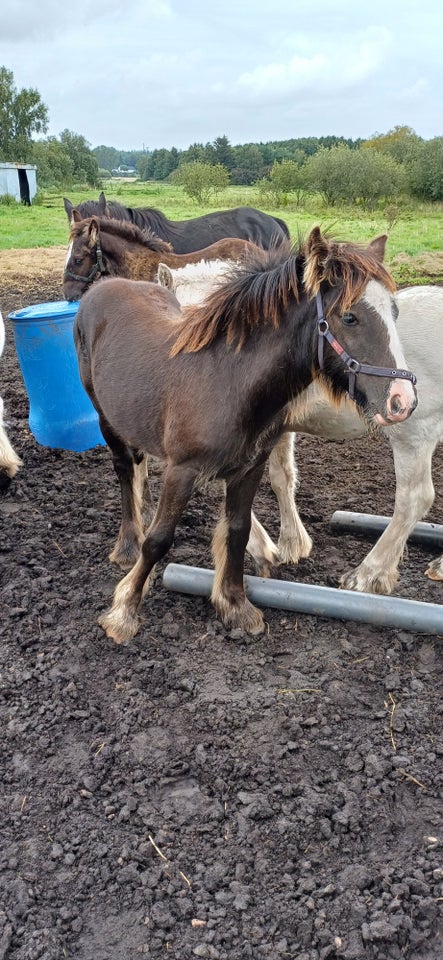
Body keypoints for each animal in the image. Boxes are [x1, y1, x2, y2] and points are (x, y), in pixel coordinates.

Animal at [74, 228, 418, 640]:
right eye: (349, 317)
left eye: (395, 313)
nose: (403, 400)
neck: (229, 377)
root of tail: (103, 287)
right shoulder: (182, 469)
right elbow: (159, 539)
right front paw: (124, 611)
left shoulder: (249, 467)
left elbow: (236, 531)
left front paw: (235, 605)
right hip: (105, 418)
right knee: (126, 471)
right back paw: (127, 544)